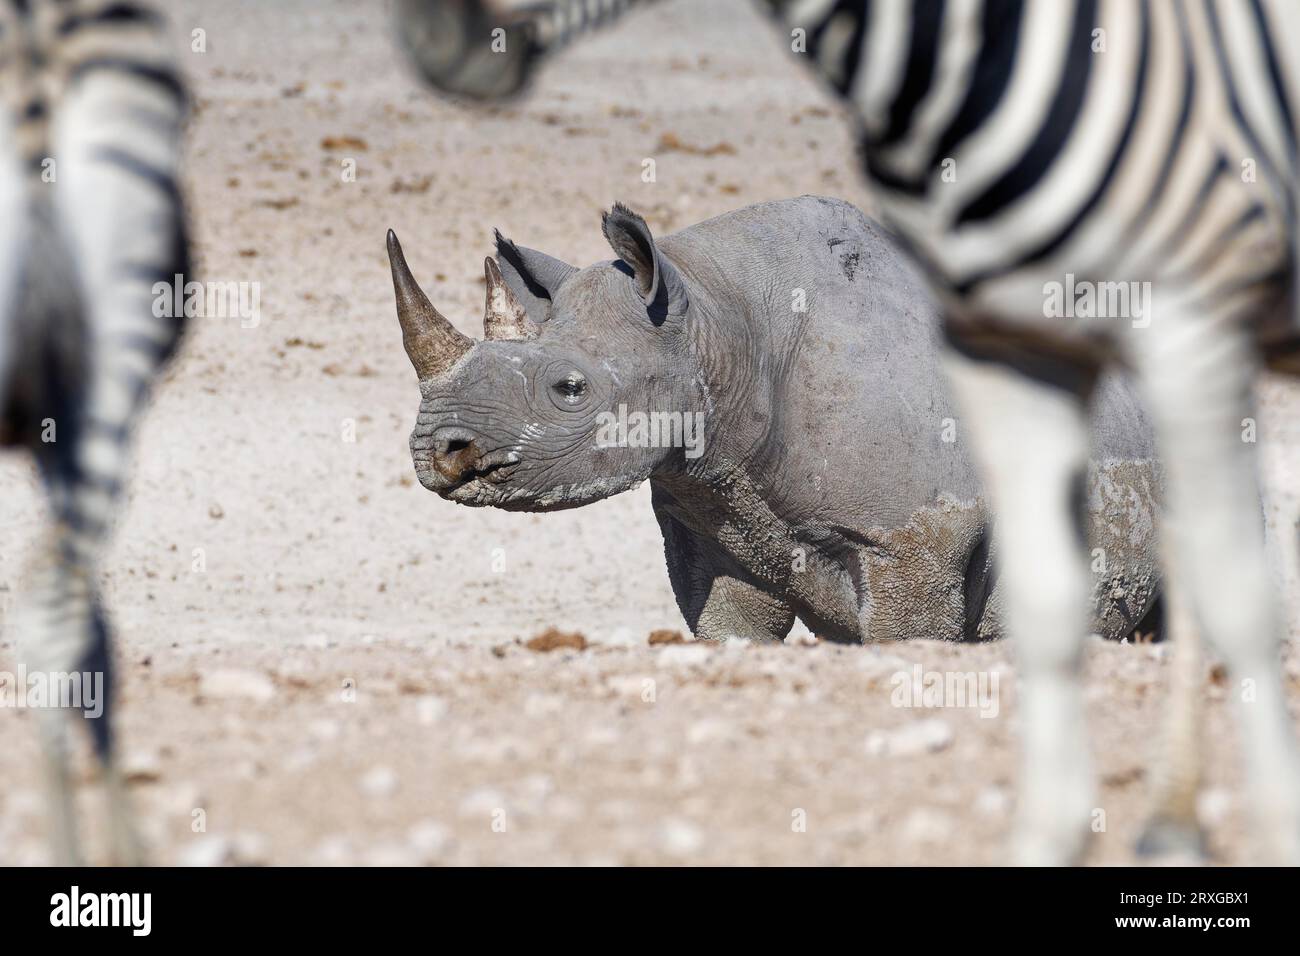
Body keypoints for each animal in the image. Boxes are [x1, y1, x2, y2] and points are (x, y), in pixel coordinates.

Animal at [392, 0, 1300, 868]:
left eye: (569, 389)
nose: (439, 452)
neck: (714, 322)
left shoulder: (917, 539)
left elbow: (906, 635)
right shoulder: (711, 524)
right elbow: (729, 627)